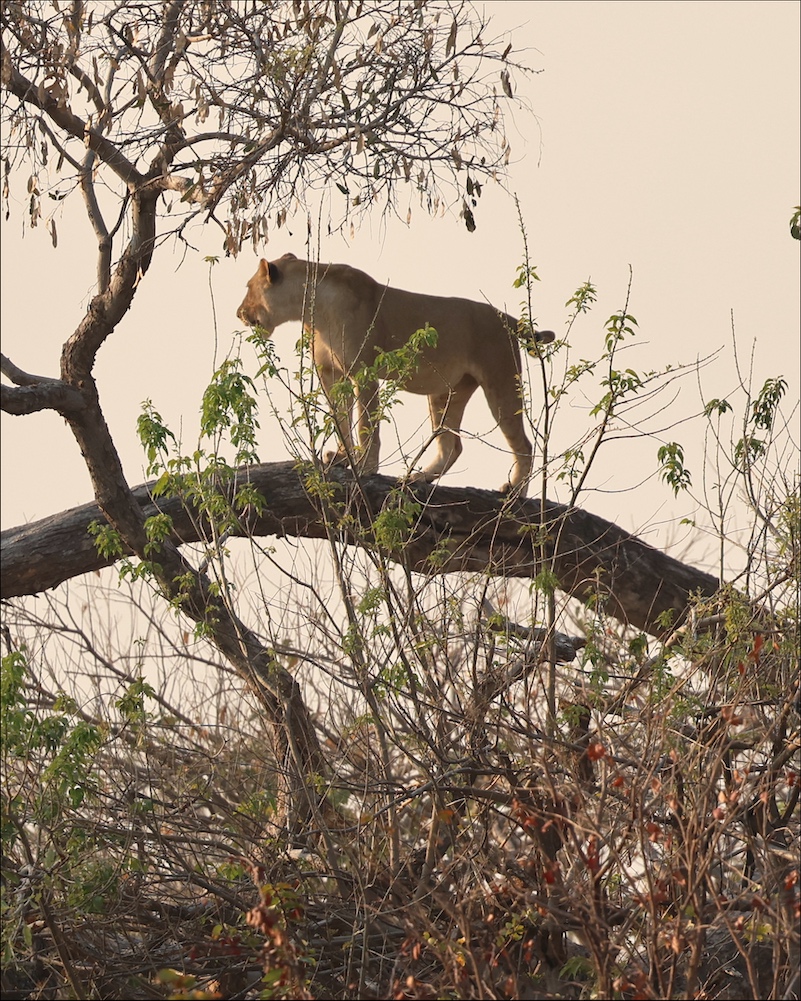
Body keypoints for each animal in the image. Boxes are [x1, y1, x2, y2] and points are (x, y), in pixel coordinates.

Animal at [236, 253, 554, 495]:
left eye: (249, 287)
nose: (239, 313)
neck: (311, 310)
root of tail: (508, 319)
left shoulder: (362, 372)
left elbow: (367, 426)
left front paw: (365, 467)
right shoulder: (331, 375)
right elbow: (341, 420)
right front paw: (340, 458)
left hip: (500, 381)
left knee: (524, 445)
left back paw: (515, 493)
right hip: (446, 392)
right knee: (452, 446)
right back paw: (419, 477)